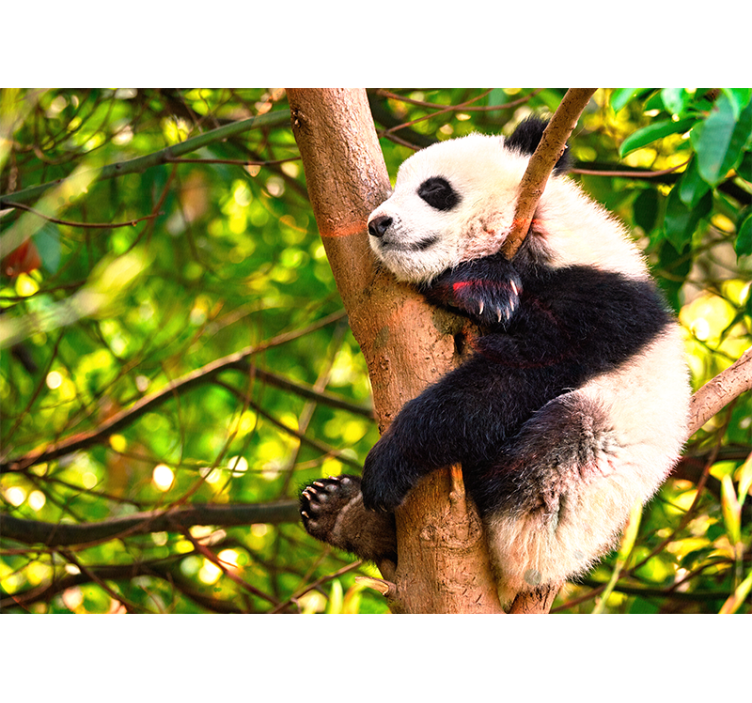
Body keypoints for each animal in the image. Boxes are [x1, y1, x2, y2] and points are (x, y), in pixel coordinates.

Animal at [300, 117, 691, 608]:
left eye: (435, 190)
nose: (378, 222)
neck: (540, 232)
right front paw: (472, 290)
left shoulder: (598, 303)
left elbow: (514, 377)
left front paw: (390, 460)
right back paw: (338, 510)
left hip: (584, 485)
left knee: (556, 447)